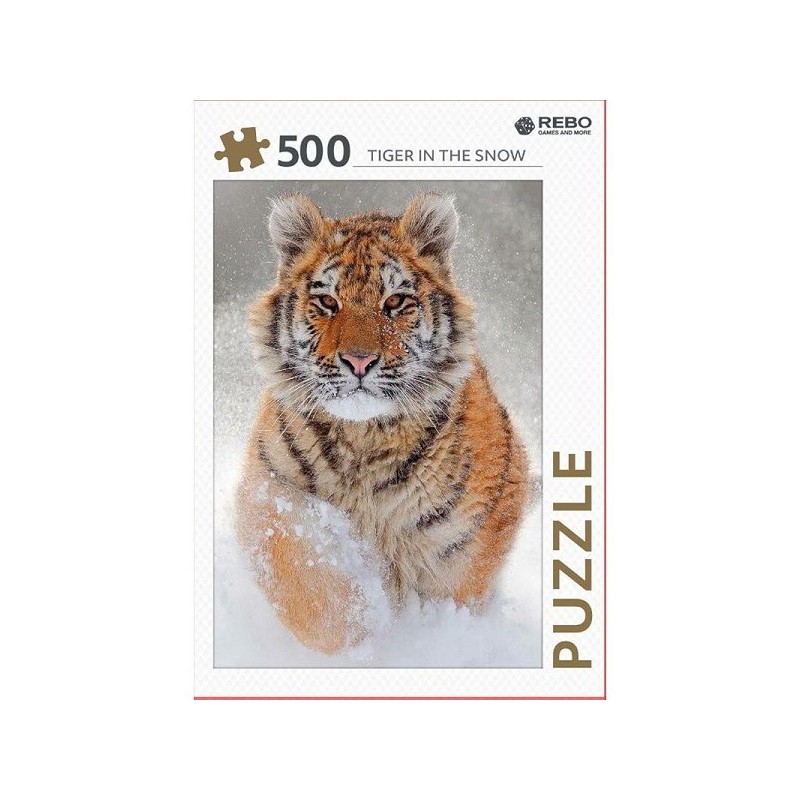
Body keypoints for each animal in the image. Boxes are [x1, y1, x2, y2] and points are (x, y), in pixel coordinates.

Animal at [236, 192, 529, 655]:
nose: (359, 361)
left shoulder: (466, 538)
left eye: (394, 302)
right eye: (327, 302)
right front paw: (359, 636)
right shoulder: (270, 493)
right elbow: (310, 586)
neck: (364, 440)